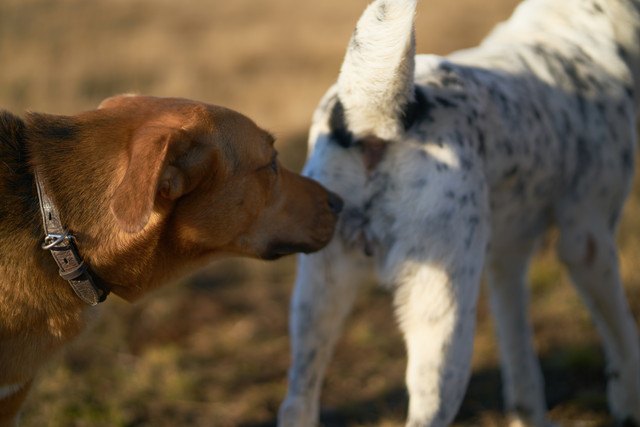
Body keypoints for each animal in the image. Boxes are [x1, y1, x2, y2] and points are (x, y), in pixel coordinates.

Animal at [278, 0, 640, 426]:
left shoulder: (507, 258)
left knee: (297, 402)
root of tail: (379, 119)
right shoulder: (588, 242)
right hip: (443, 320)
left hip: (318, 300)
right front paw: (628, 404)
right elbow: (624, 341)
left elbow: (521, 366)